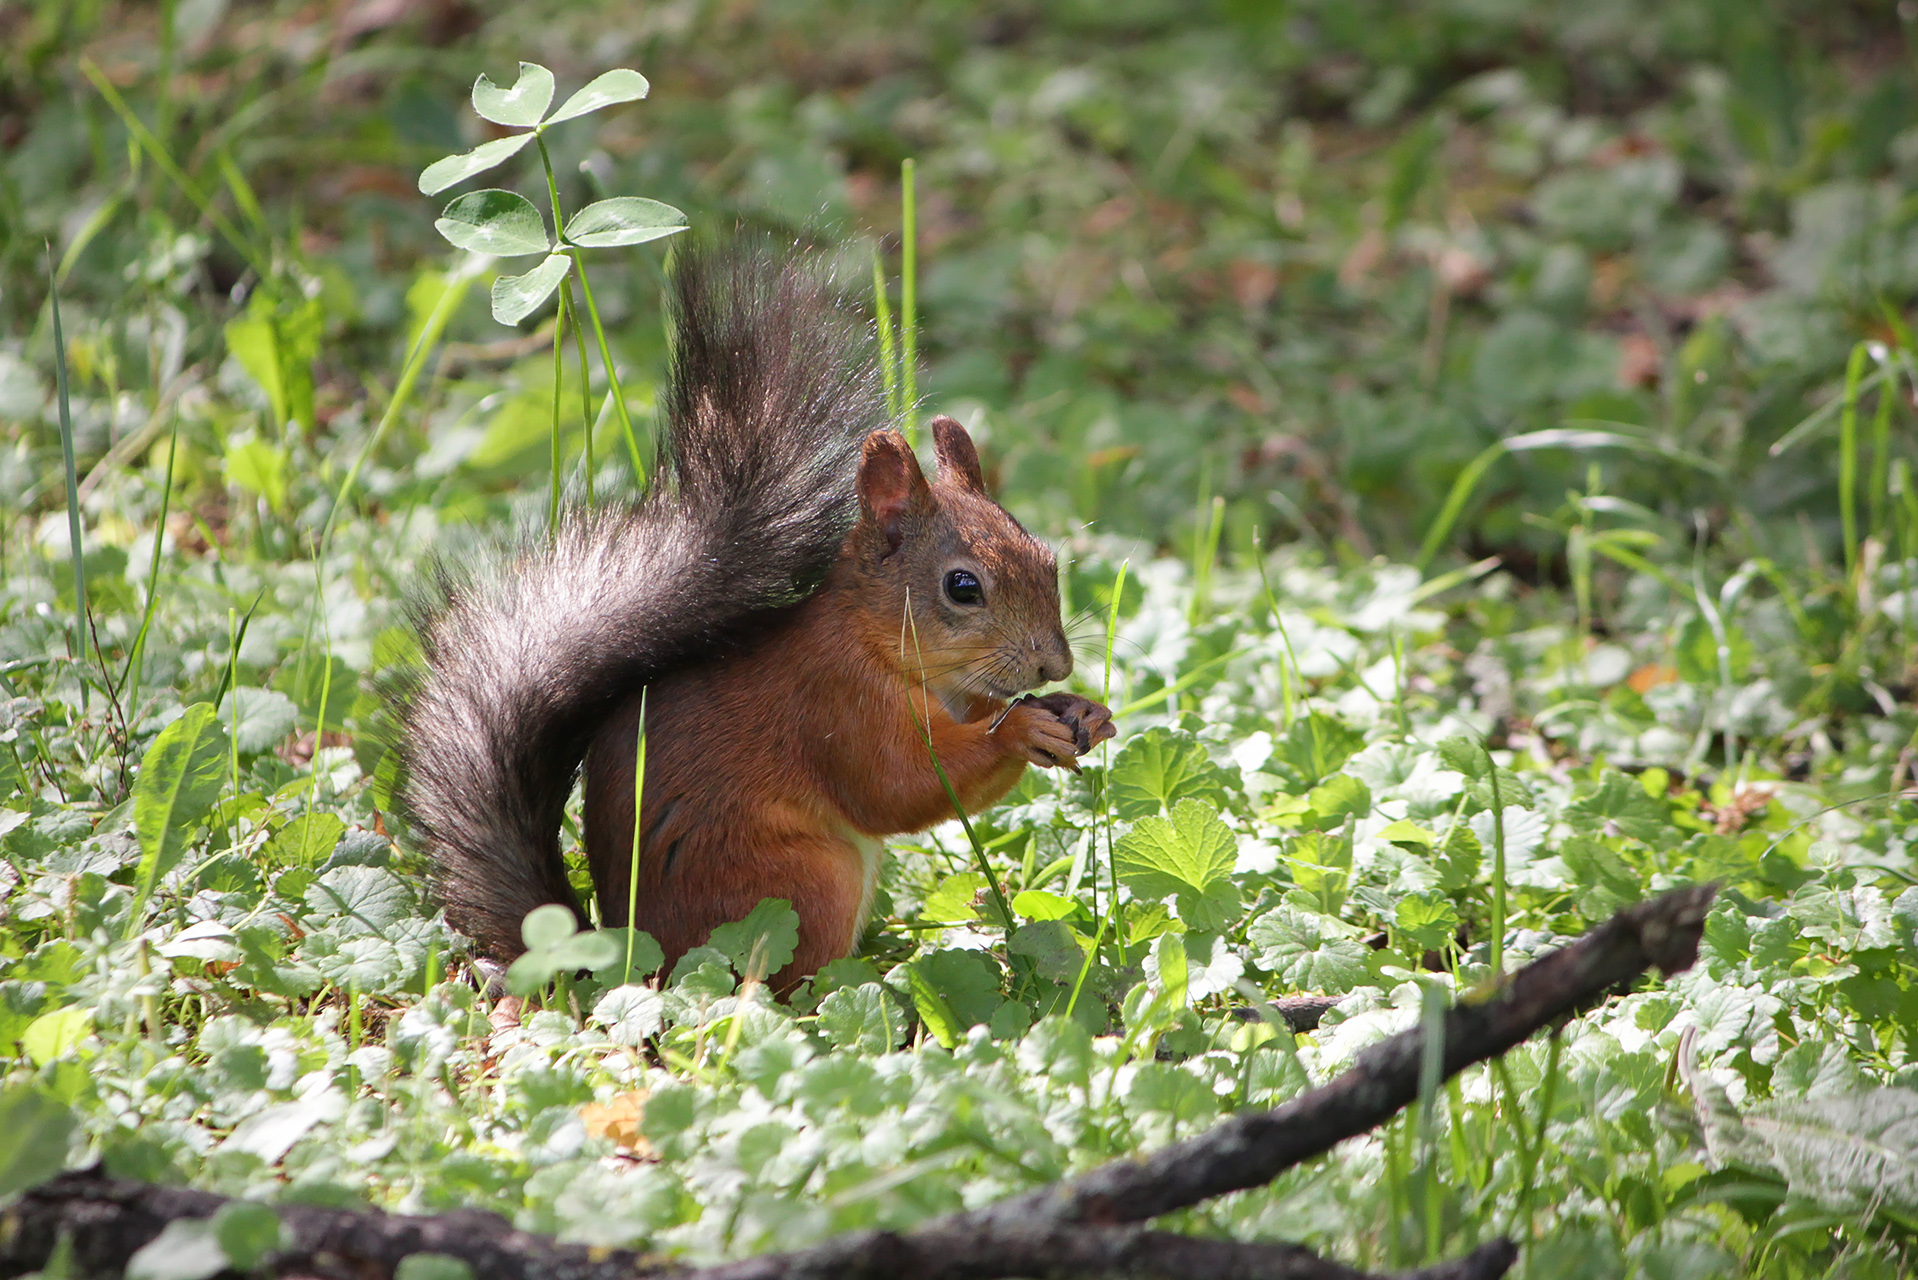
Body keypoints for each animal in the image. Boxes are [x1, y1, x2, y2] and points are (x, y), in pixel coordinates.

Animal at [397, 245, 1120, 990]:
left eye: (1046, 559)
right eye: (963, 586)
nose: (1055, 663)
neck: (877, 641)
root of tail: (623, 965)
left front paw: (1081, 712)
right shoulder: (833, 704)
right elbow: (897, 790)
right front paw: (1023, 731)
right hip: (803, 882)